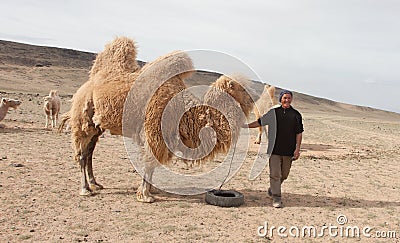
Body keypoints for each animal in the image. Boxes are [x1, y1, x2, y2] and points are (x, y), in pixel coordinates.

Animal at [62, 36, 256, 203]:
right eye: (242, 89)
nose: (254, 98)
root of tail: (86, 84)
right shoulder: (154, 131)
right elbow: (149, 162)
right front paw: (146, 195)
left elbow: (152, 164)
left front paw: (150, 190)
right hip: (82, 118)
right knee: (81, 154)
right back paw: (85, 189)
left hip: (96, 127)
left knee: (89, 152)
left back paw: (95, 184)